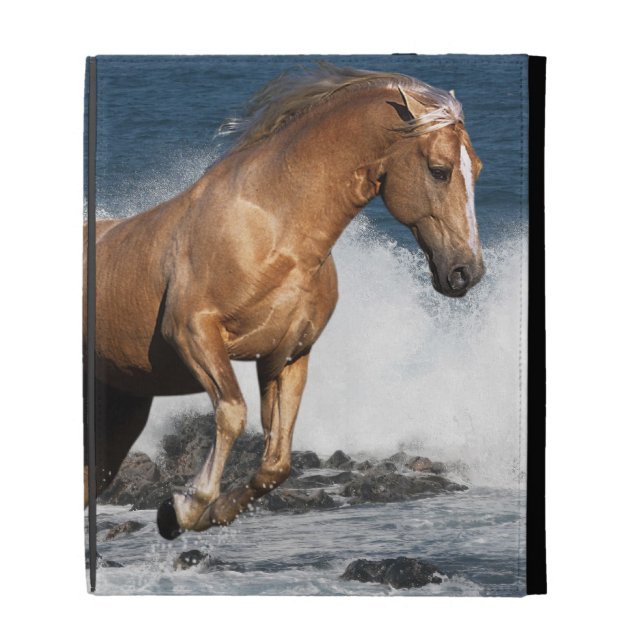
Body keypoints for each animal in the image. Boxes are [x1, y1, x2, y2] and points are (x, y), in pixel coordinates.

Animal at [83, 65, 485, 540]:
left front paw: (212, 511)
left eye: (477, 169)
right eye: (440, 171)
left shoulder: (287, 355)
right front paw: (184, 506)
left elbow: (277, 462)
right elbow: (232, 412)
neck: (274, 231)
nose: (466, 271)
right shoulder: (192, 333)